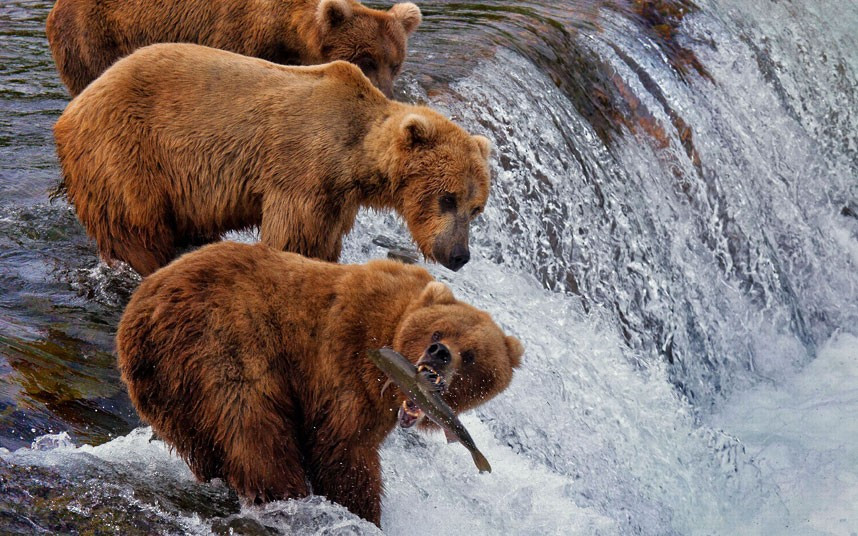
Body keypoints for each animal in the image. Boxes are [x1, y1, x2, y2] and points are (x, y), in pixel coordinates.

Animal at [53, 43, 492, 276]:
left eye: (476, 208)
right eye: (447, 198)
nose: (459, 256)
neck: (352, 156)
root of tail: (72, 109)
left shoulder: (335, 198)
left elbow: (323, 240)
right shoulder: (301, 174)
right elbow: (292, 236)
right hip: (127, 152)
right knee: (136, 227)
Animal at [116, 241, 524, 525]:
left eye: (471, 355)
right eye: (438, 330)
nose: (439, 353)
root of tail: (140, 310)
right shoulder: (345, 362)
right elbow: (343, 450)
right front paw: (364, 513)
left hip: (165, 387)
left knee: (206, 443)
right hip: (222, 337)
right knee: (253, 427)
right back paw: (286, 497)